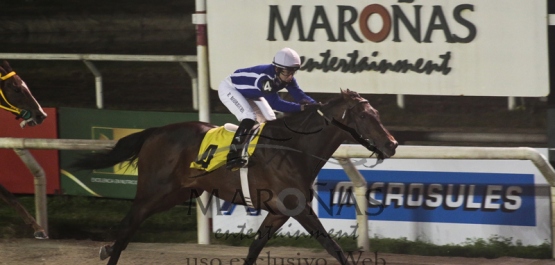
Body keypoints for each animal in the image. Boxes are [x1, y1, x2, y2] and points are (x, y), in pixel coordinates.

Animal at [74, 89, 398, 264]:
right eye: (366, 116)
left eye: (378, 114)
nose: (392, 144)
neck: (295, 148)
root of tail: (156, 132)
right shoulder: (299, 209)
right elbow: (334, 248)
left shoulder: (279, 212)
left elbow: (255, 248)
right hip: (154, 190)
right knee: (129, 224)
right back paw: (109, 251)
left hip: (176, 193)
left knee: (130, 227)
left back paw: (107, 249)